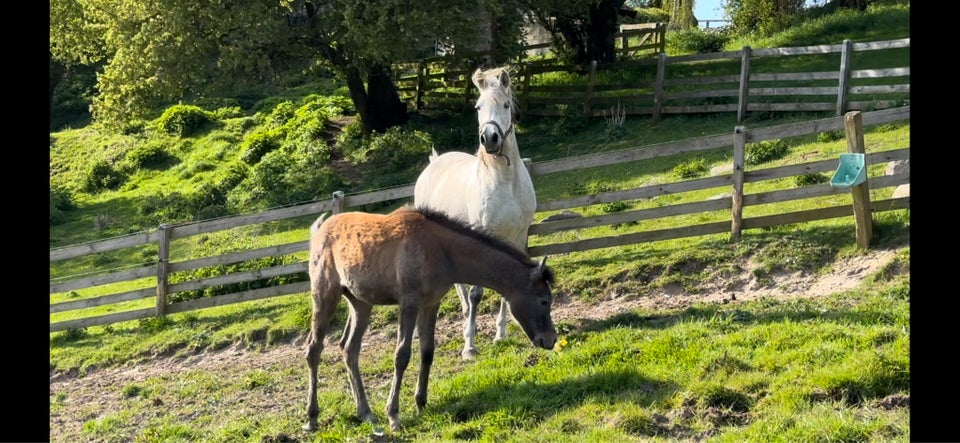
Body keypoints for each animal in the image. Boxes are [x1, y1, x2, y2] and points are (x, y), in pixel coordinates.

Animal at [412, 66, 536, 360]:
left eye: (506, 105)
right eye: (478, 106)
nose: (489, 138)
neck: (504, 181)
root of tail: (435, 162)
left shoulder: (518, 237)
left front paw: (500, 335)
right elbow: (477, 292)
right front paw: (469, 346)